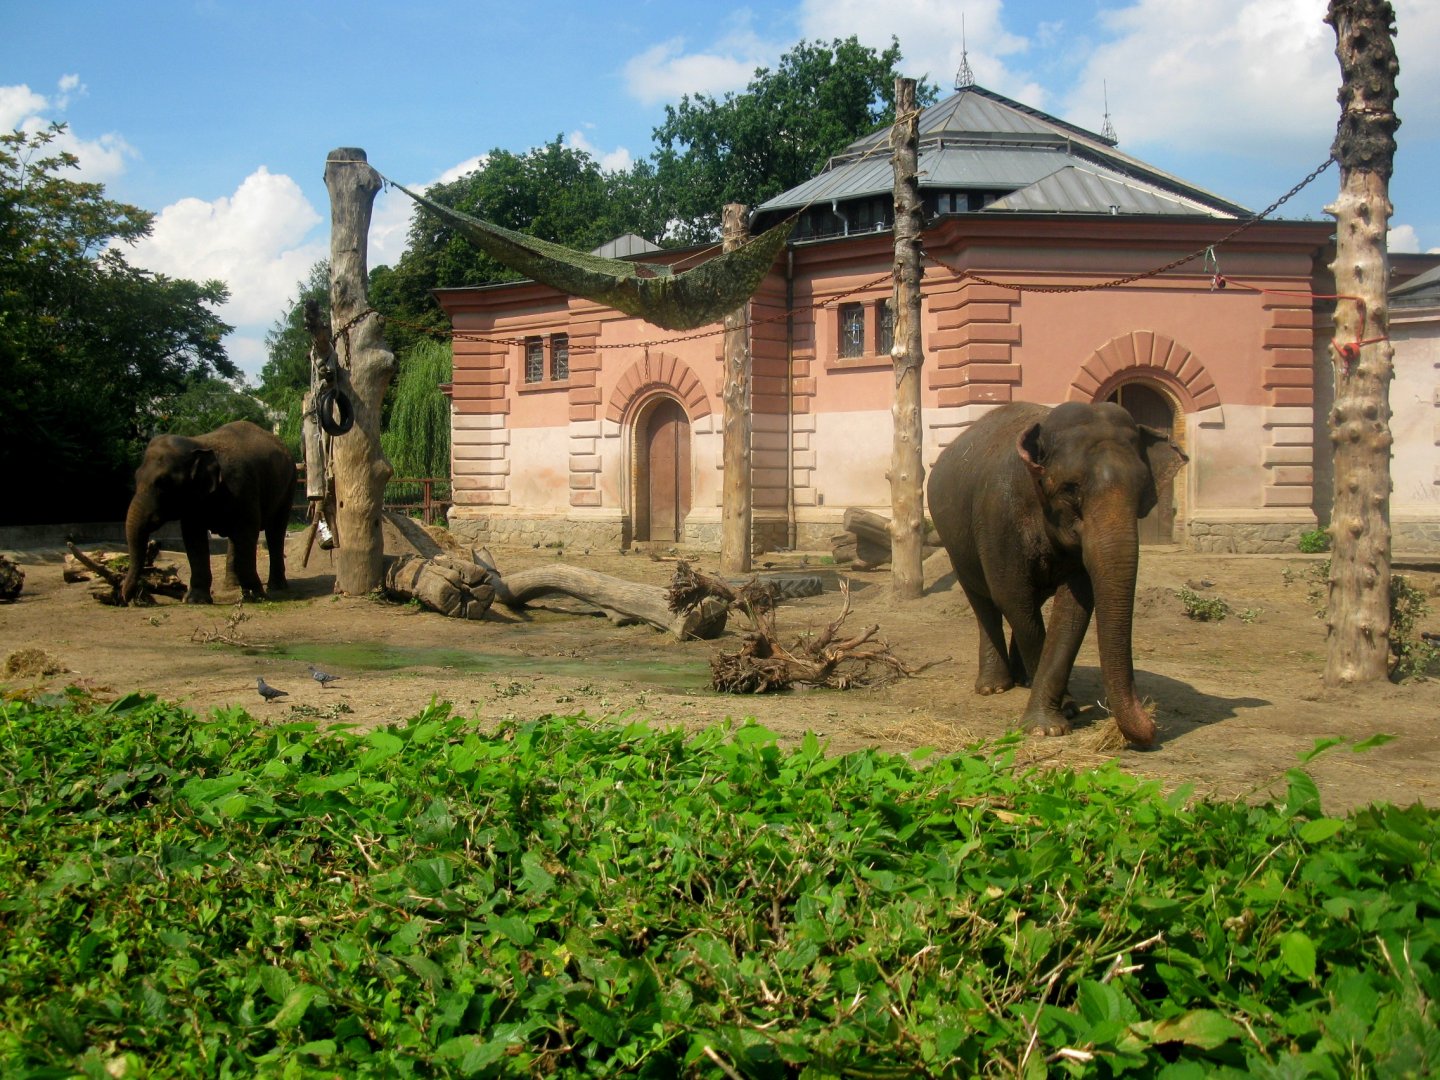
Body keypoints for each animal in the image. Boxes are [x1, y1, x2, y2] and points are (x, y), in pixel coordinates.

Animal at [121, 421, 297, 605]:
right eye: (136, 477)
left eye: (163, 483)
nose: (126, 598)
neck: (198, 444)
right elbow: (193, 538)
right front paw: (195, 600)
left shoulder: (243, 488)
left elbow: (247, 532)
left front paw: (256, 596)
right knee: (235, 538)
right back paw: (231, 588)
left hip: (288, 486)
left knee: (275, 531)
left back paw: (276, 588)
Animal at [926, 401, 1187, 748]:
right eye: (1070, 488)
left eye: (1143, 491)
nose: (1152, 725)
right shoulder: (998, 517)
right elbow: (1012, 596)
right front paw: (1060, 714)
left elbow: (1074, 609)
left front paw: (1057, 716)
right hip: (956, 544)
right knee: (988, 603)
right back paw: (993, 687)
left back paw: (1023, 679)